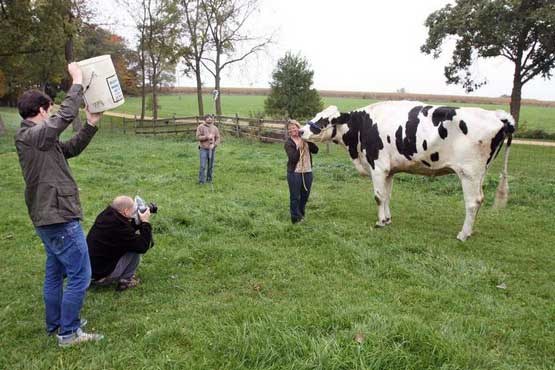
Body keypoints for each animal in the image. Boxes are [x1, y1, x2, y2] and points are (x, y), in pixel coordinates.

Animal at [300, 102, 516, 240]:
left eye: (323, 120)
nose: (301, 131)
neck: (361, 126)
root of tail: (498, 115)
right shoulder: (389, 170)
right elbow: (386, 196)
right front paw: (387, 220)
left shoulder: (377, 166)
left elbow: (378, 196)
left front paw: (380, 222)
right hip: (479, 174)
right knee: (480, 200)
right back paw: (469, 232)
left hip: (469, 173)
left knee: (473, 202)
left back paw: (463, 235)